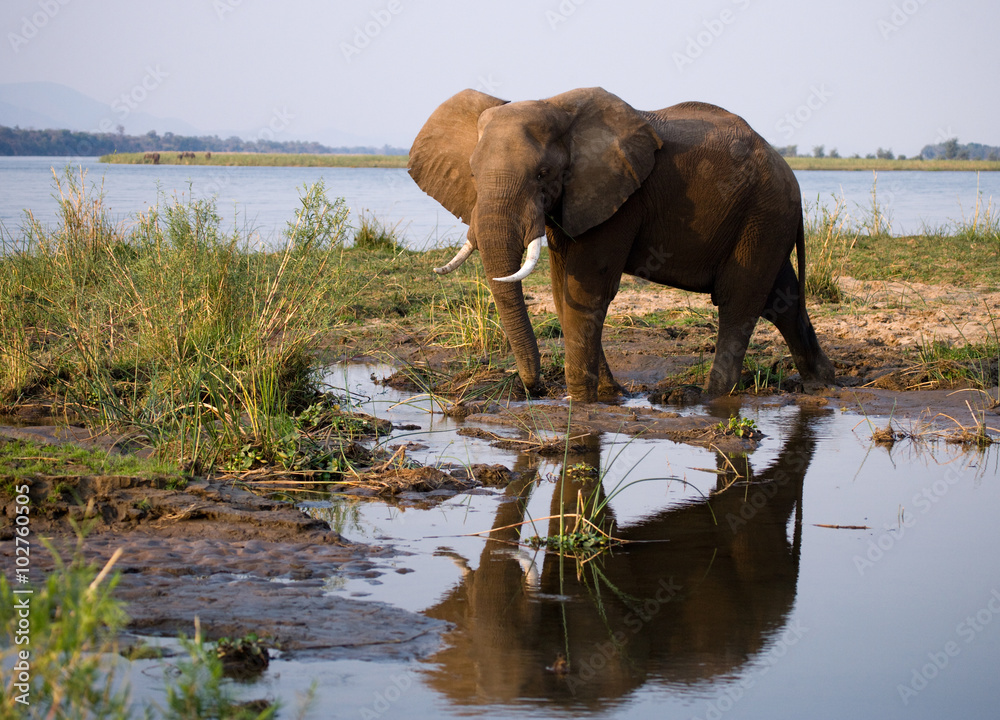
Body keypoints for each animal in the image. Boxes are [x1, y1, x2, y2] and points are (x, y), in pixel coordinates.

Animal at [408, 87, 836, 402]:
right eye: (472, 174)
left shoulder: (619, 198)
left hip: (762, 213)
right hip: (765, 220)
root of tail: (792, 176)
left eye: (543, 174)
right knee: (782, 298)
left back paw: (707, 397)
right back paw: (823, 381)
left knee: (739, 300)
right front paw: (609, 395)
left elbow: (586, 287)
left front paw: (582, 402)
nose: (536, 389)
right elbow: (562, 289)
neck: (555, 105)